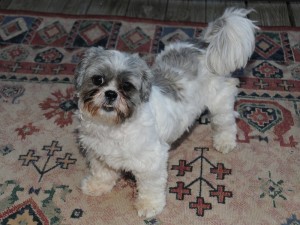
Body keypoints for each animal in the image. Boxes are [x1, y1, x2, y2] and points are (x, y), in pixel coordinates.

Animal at [74, 8, 258, 218]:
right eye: (98, 79)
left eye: (127, 86)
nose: (111, 94)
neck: (112, 127)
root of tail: (203, 44)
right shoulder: (98, 153)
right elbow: (102, 172)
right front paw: (97, 185)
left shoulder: (152, 161)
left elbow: (151, 187)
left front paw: (149, 205)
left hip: (219, 100)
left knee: (225, 122)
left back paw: (225, 141)